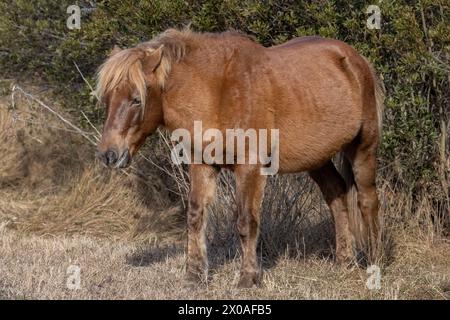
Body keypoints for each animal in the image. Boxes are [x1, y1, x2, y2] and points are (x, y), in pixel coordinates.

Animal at [95, 28, 384, 288]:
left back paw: (374, 263)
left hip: (363, 148)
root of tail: (355, 60)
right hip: (317, 158)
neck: (217, 91)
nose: (109, 155)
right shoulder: (202, 164)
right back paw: (344, 261)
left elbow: (246, 222)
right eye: (107, 98)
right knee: (336, 195)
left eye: (136, 99)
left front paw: (248, 278)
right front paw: (194, 276)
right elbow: (195, 217)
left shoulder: (250, 168)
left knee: (367, 201)